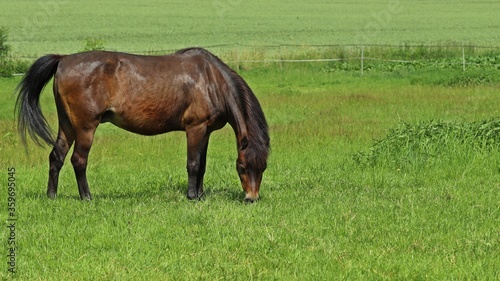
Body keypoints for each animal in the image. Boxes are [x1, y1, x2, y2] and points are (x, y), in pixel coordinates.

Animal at [15, 48, 270, 201]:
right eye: (241, 167)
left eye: (264, 167)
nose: (252, 198)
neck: (211, 79)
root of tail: (64, 59)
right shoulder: (195, 128)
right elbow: (193, 163)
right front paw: (191, 196)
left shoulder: (205, 132)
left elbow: (203, 164)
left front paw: (200, 194)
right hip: (85, 127)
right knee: (78, 160)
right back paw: (87, 197)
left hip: (68, 125)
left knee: (56, 157)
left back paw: (52, 196)